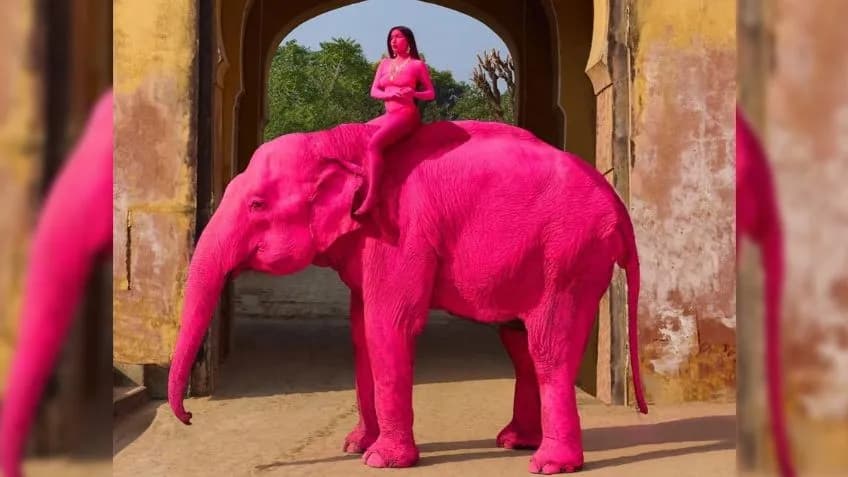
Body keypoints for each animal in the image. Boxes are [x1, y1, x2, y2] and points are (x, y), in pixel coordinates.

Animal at [167, 119, 649, 474]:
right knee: (518, 341)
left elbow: (389, 325)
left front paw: (380, 460)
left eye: (257, 205)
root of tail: (619, 205)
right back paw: (514, 442)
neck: (339, 142)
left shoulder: (400, 234)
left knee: (548, 346)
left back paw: (548, 465)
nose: (189, 417)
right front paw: (353, 446)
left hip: (570, 255)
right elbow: (361, 330)